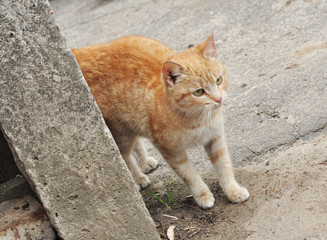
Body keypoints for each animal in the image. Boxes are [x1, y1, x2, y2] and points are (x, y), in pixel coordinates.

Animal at [73, 34, 250, 209]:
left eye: (219, 80)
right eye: (199, 92)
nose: (219, 99)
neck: (196, 119)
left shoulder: (215, 138)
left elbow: (224, 166)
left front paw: (233, 190)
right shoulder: (171, 151)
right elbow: (190, 175)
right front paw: (202, 195)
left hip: (131, 124)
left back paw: (145, 162)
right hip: (121, 133)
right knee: (124, 156)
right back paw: (138, 177)